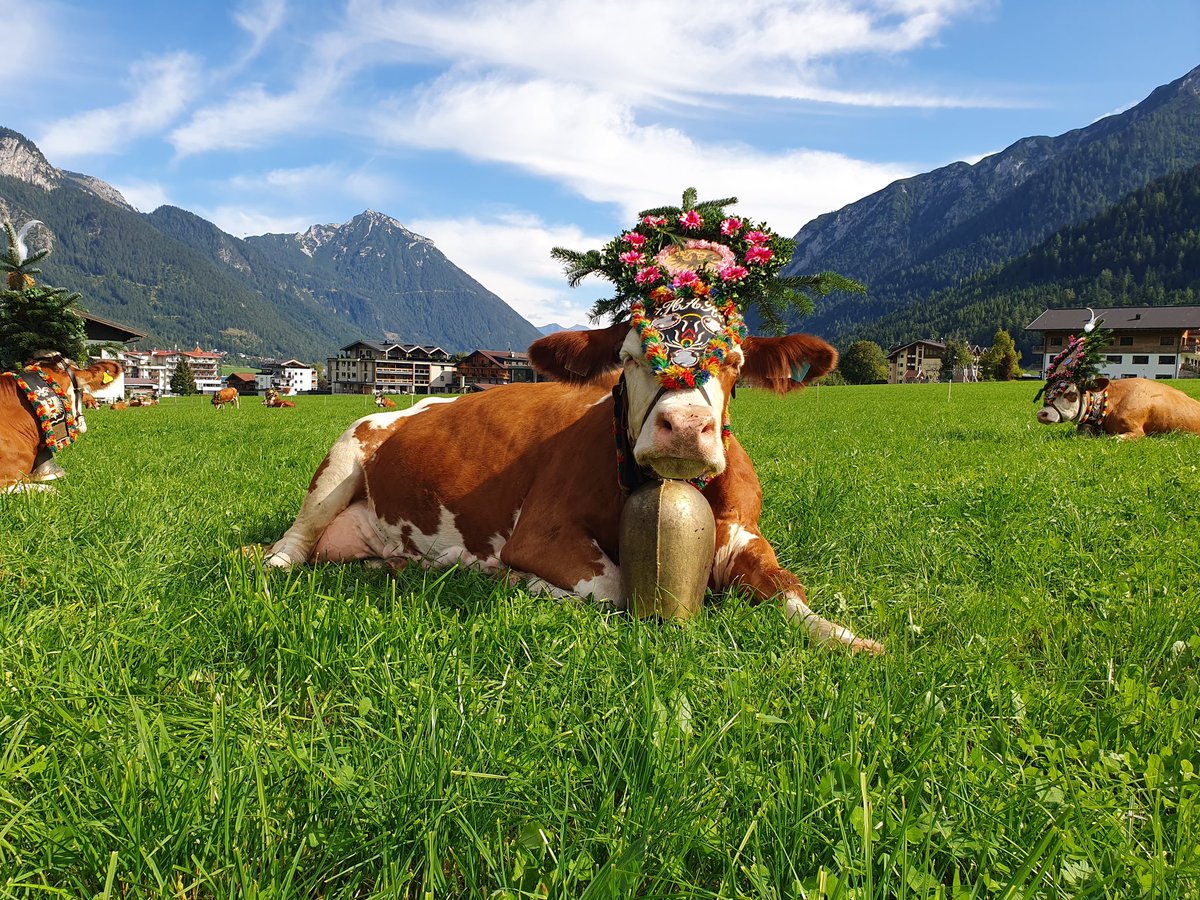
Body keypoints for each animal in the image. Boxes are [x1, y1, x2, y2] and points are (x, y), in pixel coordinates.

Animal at [259, 312, 883, 654]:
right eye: (630, 358)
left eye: (732, 362)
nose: (684, 426)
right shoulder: (539, 531)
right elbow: (611, 588)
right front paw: (519, 581)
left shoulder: (743, 535)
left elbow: (787, 589)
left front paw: (850, 638)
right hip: (341, 458)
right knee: (288, 549)